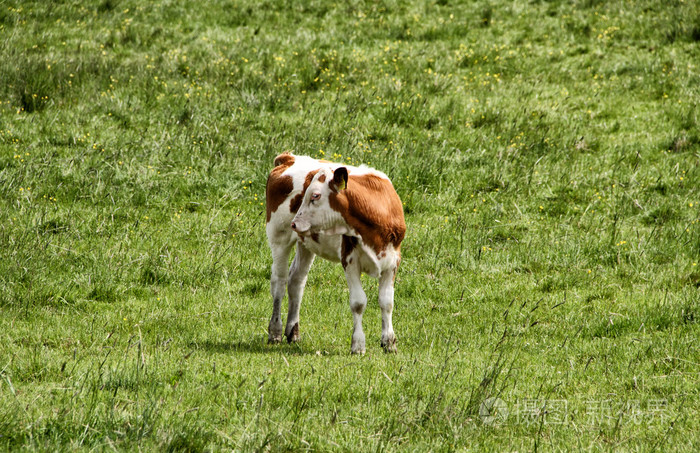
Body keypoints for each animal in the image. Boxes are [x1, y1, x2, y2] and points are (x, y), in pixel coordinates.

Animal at [262, 152, 404, 354]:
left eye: (315, 195)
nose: (295, 223)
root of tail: (289, 158)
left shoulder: (393, 261)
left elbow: (387, 301)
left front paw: (389, 343)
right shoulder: (349, 259)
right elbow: (358, 302)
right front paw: (358, 345)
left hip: (305, 242)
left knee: (296, 281)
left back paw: (293, 332)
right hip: (278, 237)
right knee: (279, 282)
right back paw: (275, 331)